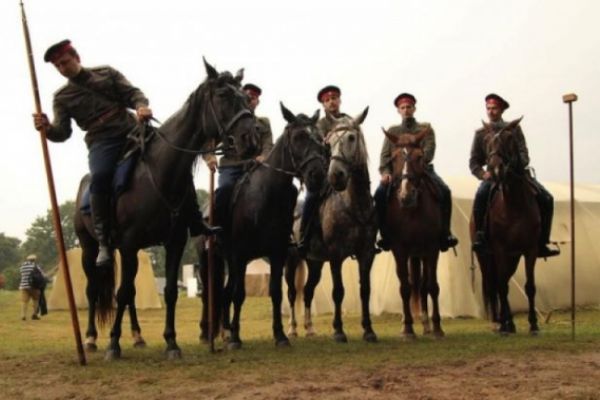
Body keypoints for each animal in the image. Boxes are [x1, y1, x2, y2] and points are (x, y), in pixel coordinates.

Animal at [73, 59, 258, 360]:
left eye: (245, 97)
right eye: (223, 95)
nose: (250, 140)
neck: (161, 174)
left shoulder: (173, 243)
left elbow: (169, 291)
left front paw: (171, 343)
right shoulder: (129, 244)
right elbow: (122, 293)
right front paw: (113, 345)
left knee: (130, 293)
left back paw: (137, 336)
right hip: (91, 247)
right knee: (93, 290)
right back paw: (90, 338)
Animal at [219, 103, 328, 348]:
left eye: (320, 139)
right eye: (298, 137)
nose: (318, 175)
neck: (266, 196)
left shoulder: (278, 254)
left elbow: (276, 293)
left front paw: (280, 335)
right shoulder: (240, 255)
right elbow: (239, 294)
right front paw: (236, 338)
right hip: (230, 259)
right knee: (227, 292)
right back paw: (225, 333)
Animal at [285, 109, 378, 343]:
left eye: (351, 138)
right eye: (329, 142)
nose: (336, 175)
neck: (355, 205)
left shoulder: (366, 253)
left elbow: (365, 291)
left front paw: (368, 330)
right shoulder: (336, 255)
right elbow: (338, 291)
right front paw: (338, 331)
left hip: (314, 263)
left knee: (308, 291)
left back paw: (309, 328)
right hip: (291, 260)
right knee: (292, 292)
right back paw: (292, 329)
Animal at [384, 128, 445, 339]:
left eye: (420, 157)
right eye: (394, 158)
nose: (406, 195)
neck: (412, 211)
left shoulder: (432, 248)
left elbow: (432, 286)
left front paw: (437, 328)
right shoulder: (400, 250)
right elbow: (405, 287)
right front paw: (407, 329)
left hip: (421, 254)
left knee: (424, 285)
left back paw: (427, 325)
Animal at [469, 117, 541, 335]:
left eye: (510, 139)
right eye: (487, 141)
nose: (495, 170)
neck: (513, 205)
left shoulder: (530, 249)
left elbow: (529, 286)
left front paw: (534, 324)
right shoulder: (499, 249)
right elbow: (502, 286)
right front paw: (506, 324)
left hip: (513, 257)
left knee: (503, 281)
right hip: (485, 256)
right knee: (496, 283)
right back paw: (502, 322)